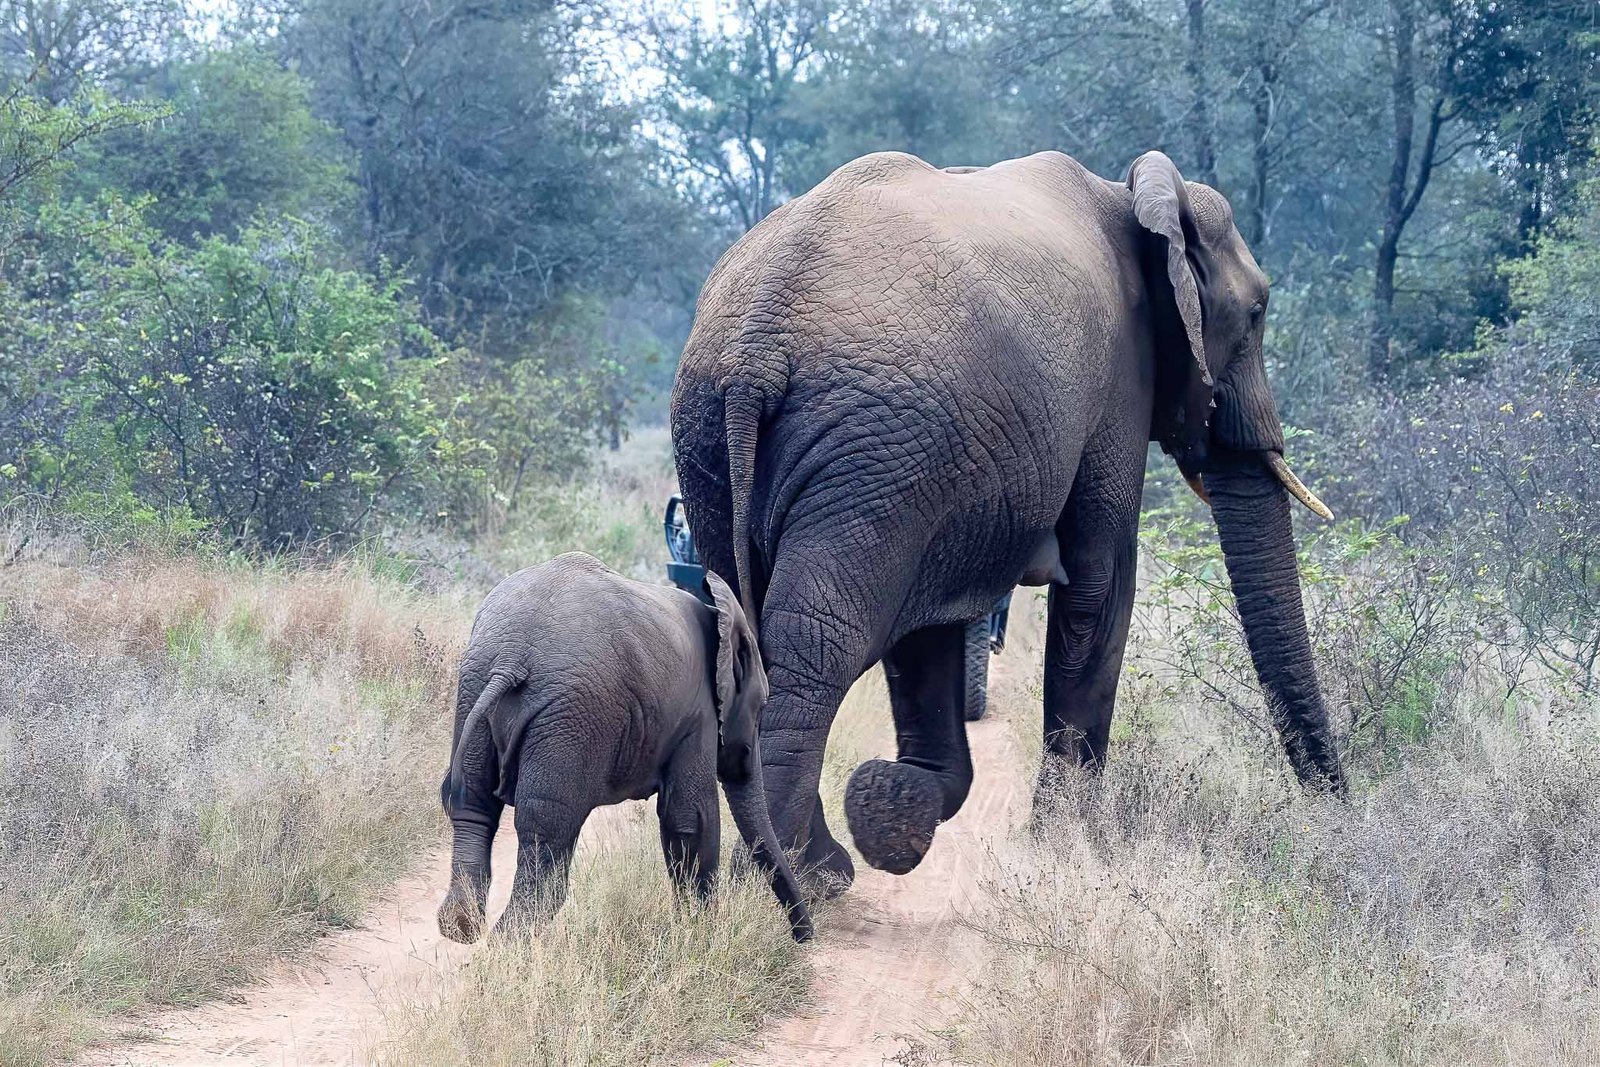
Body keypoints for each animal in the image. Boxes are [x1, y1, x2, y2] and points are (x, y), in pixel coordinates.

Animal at [436, 551, 813, 943]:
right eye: (762, 706)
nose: (804, 937)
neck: (721, 615)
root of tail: (511, 658)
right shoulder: (700, 715)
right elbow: (691, 817)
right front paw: (700, 933)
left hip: (475, 688)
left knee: (473, 803)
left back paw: (461, 927)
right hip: (571, 714)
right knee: (546, 824)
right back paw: (512, 940)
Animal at [671, 149, 1343, 892]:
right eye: (1256, 313)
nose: (1336, 807)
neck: (1136, 197)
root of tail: (755, 348)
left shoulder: (939, 478)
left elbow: (934, 624)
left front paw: (898, 807)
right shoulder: (1117, 380)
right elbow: (1102, 582)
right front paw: (1067, 843)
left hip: (731, 444)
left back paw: (813, 865)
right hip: (867, 447)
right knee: (819, 644)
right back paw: (796, 880)